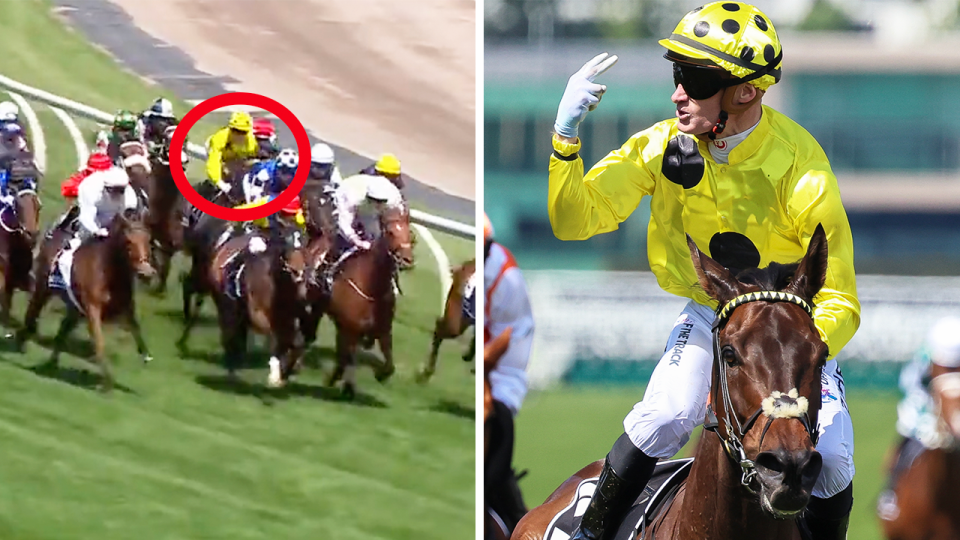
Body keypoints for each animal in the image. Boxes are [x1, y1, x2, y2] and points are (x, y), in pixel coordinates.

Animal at [14, 211, 156, 392]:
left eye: (147, 240)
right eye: (129, 242)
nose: (146, 273)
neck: (108, 272)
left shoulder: (125, 307)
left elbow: (136, 329)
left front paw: (145, 355)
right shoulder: (92, 309)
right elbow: (99, 342)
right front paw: (106, 381)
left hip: (74, 308)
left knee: (62, 330)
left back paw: (50, 363)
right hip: (44, 289)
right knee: (33, 312)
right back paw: (22, 340)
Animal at [292, 202, 412, 396]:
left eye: (410, 233)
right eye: (390, 232)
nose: (407, 259)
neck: (371, 288)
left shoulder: (383, 330)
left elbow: (389, 364)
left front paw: (378, 375)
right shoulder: (351, 329)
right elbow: (345, 357)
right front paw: (337, 380)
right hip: (314, 303)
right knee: (308, 333)